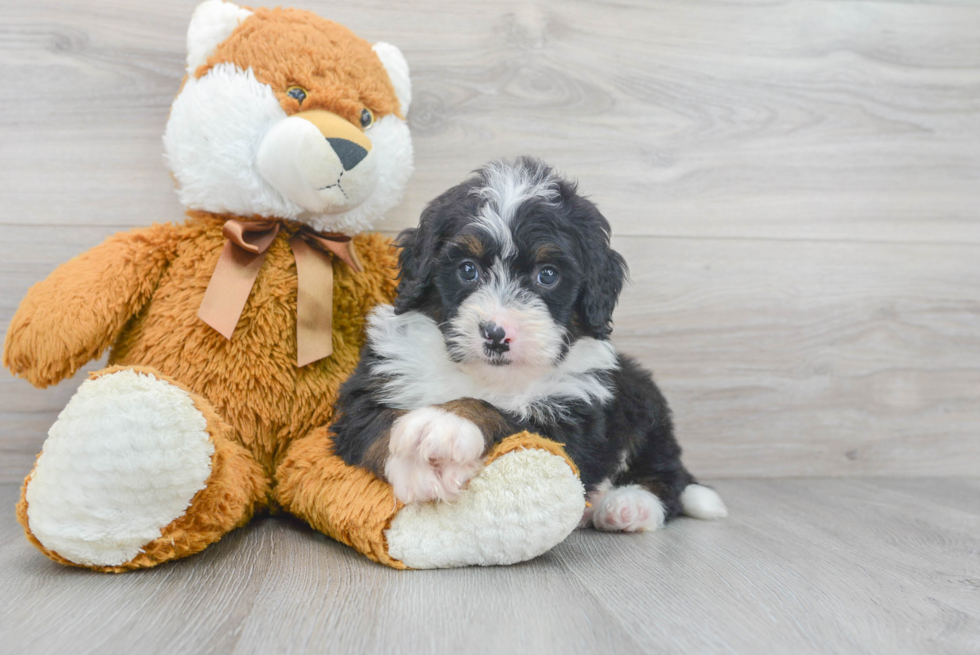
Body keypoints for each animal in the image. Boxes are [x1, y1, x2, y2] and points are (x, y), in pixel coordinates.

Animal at [334, 156, 724, 532]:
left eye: (547, 275)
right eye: (467, 270)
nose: (495, 333)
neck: (486, 377)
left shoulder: (574, 416)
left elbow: (506, 414)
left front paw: (445, 422)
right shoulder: (370, 388)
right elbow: (374, 428)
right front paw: (416, 467)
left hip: (644, 401)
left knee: (668, 475)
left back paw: (628, 506)